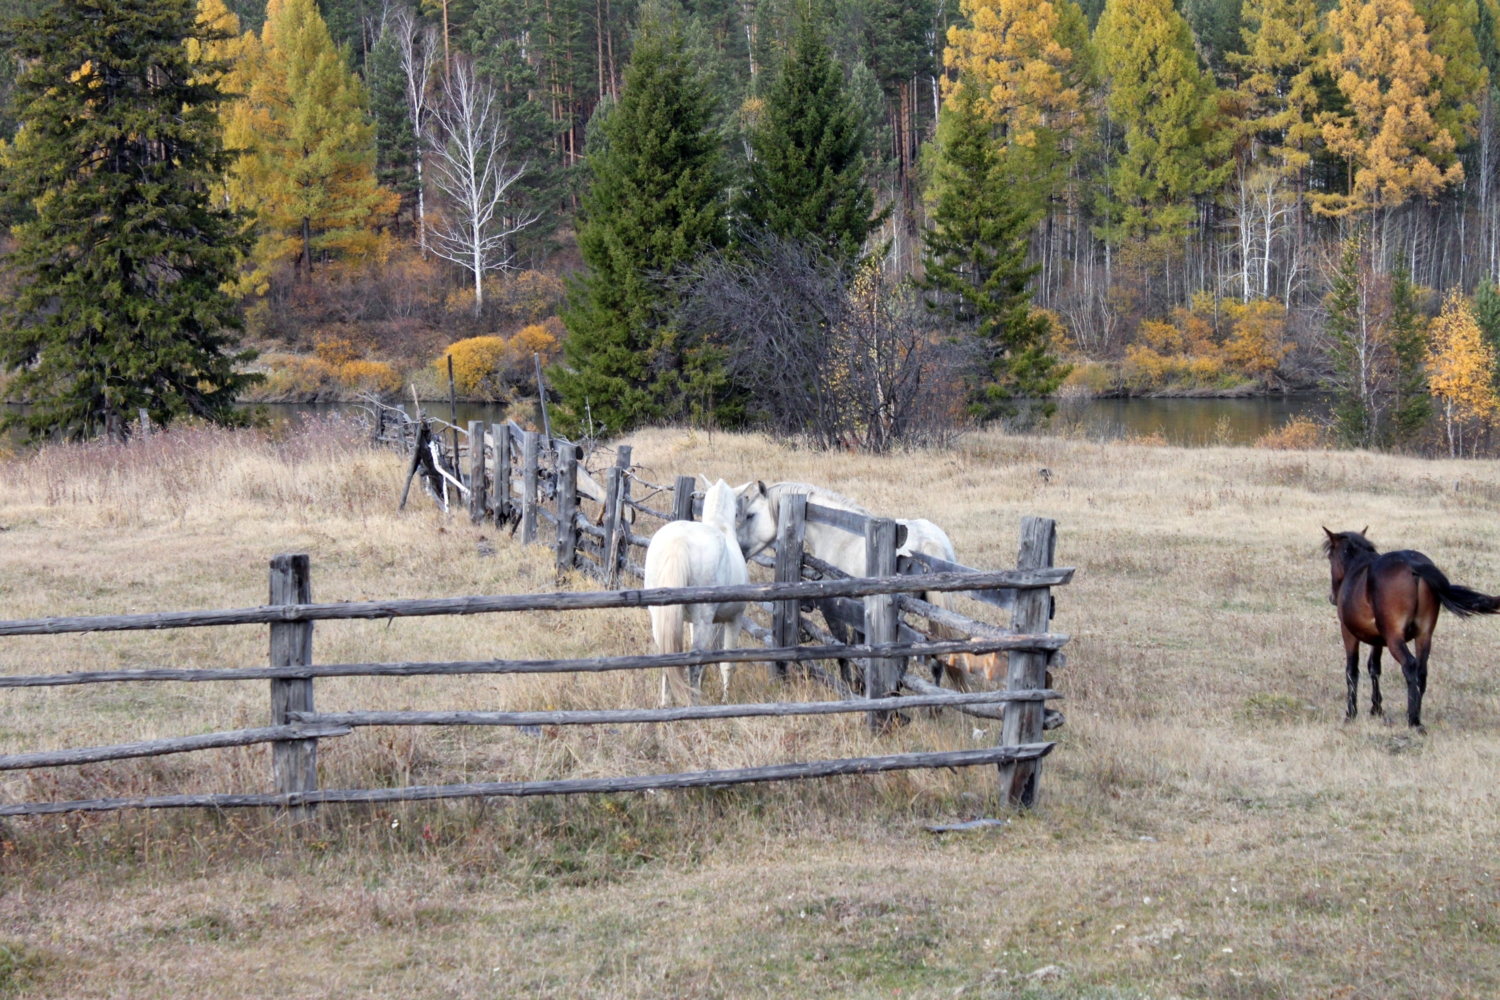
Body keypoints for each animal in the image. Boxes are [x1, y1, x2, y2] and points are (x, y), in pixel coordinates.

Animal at [642, 476, 747, 704]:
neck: (721, 527)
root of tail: (679, 540)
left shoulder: (690, 622)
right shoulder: (734, 618)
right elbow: (727, 663)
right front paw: (725, 699)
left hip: (660, 615)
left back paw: (666, 704)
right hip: (703, 619)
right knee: (693, 664)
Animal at [732, 485, 978, 689]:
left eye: (750, 515)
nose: (740, 549)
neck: (838, 532)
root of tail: (928, 540)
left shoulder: (834, 607)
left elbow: (842, 646)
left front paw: (849, 685)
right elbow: (860, 645)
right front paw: (860, 684)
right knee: (935, 661)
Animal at [1326, 527, 1500, 731]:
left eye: (1330, 557)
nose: (1332, 597)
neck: (1357, 567)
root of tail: (1413, 565)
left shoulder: (1349, 633)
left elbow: (1352, 671)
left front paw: (1351, 714)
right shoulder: (1377, 639)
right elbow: (1374, 667)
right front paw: (1376, 708)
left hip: (1394, 638)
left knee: (1409, 665)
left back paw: (1413, 720)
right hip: (1424, 635)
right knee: (1421, 671)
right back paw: (1416, 715)